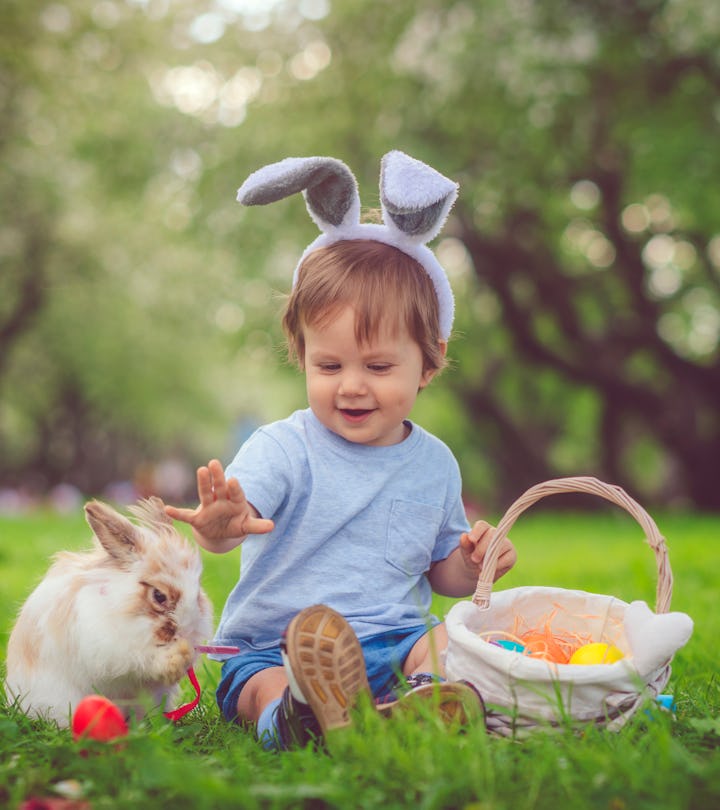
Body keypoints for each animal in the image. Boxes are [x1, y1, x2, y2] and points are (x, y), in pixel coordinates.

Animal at [4, 496, 214, 724]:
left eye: (198, 592)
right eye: (159, 595)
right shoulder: (112, 650)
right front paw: (175, 659)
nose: (186, 630)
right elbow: (140, 660)